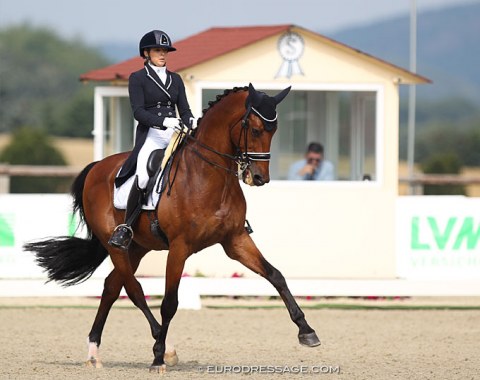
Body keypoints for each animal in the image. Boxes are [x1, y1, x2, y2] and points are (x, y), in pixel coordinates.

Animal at [24, 82, 320, 372]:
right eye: (256, 129)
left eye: (274, 130)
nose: (259, 177)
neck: (208, 176)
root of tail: (98, 167)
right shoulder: (180, 247)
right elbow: (169, 303)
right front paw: (157, 357)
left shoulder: (235, 240)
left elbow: (275, 275)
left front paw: (307, 331)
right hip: (116, 244)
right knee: (133, 289)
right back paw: (162, 347)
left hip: (137, 247)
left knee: (111, 287)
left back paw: (95, 353)